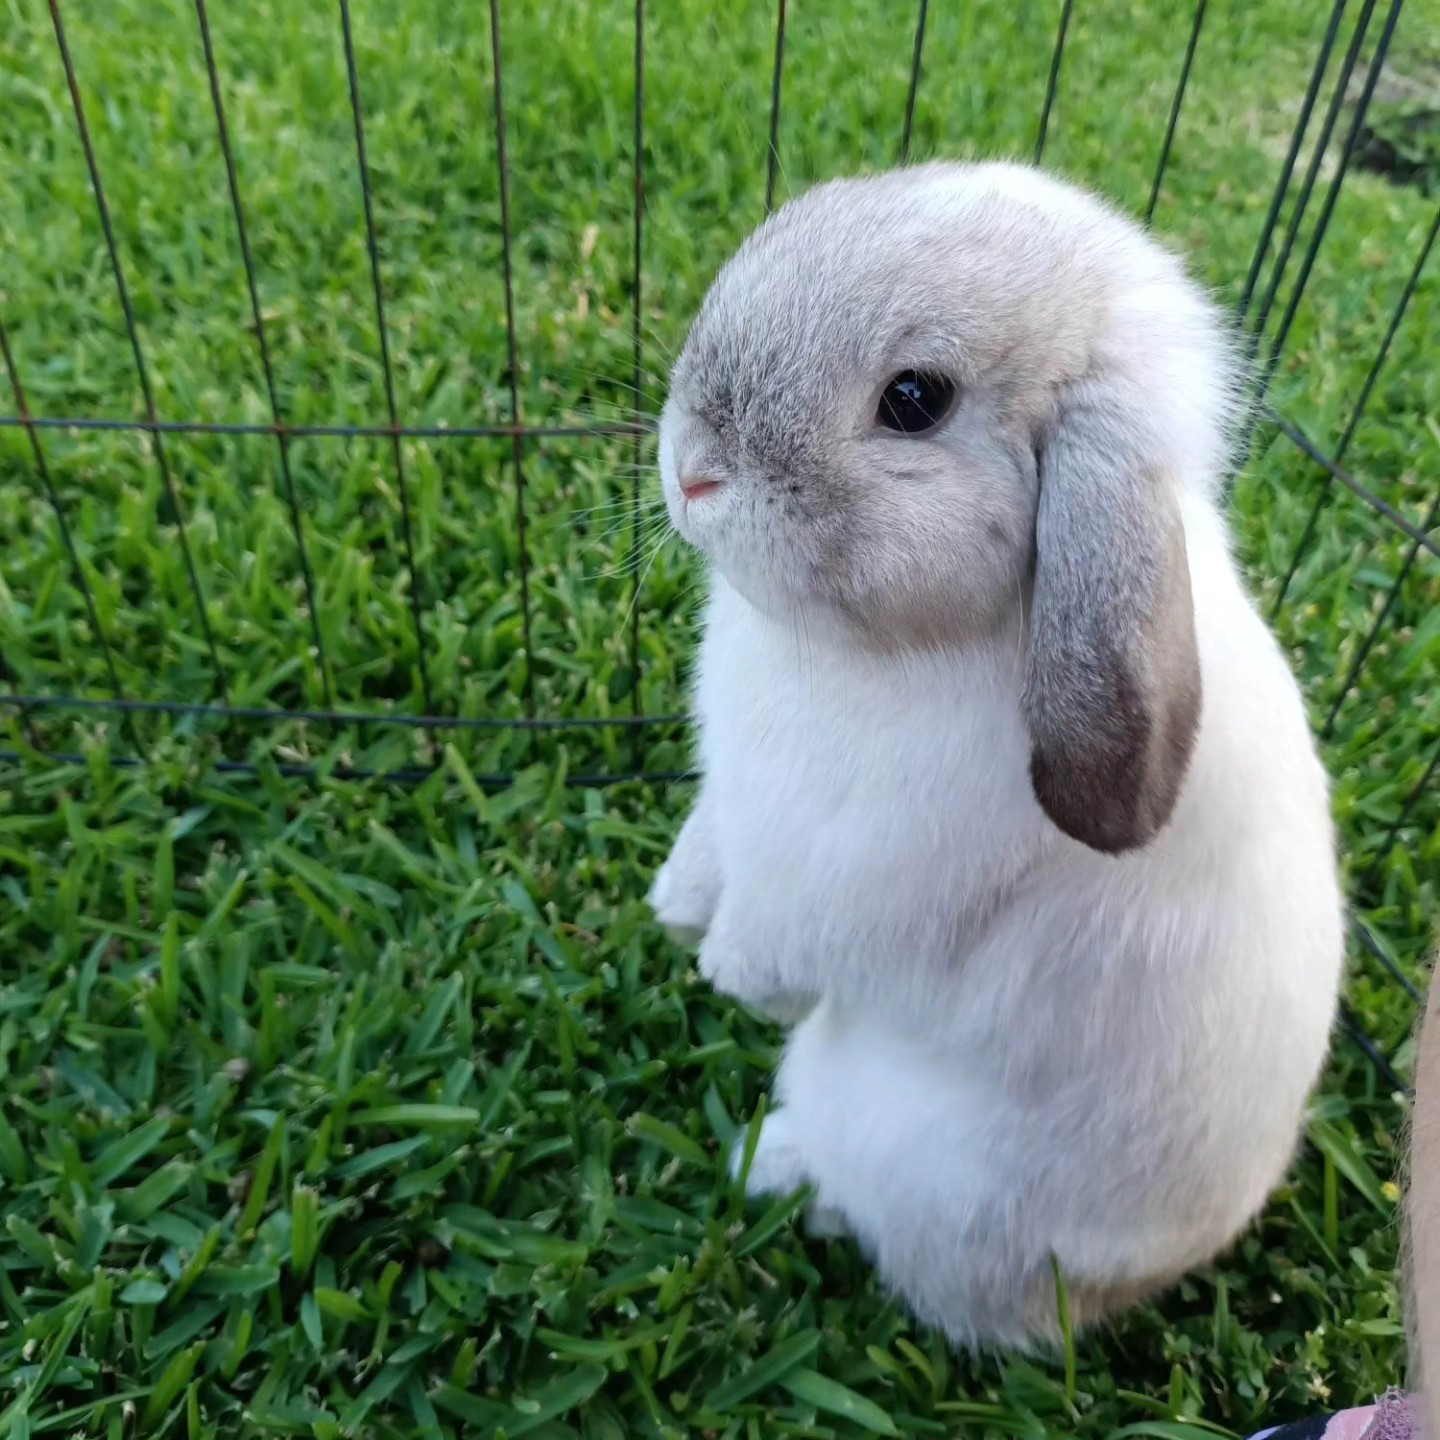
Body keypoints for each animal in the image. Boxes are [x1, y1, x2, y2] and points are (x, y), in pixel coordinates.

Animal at [647, 160, 1344, 1350]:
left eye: (914, 401)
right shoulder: (736, 811)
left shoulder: (836, 879)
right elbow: (706, 855)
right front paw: (673, 911)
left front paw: (723, 975)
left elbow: (779, 949)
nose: (691, 472)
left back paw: (773, 1167)